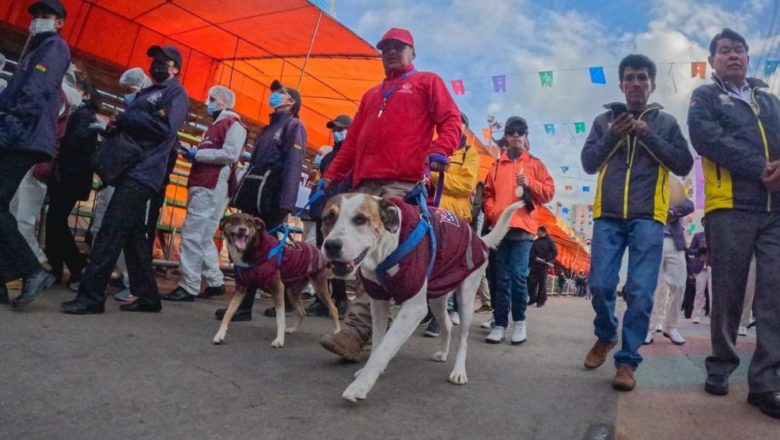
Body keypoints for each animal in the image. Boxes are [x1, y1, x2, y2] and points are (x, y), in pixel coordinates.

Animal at [213, 213, 338, 348]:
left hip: (319, 287)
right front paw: (219, 335)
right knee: (302, 312)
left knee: (333, 309)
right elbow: (228, 313)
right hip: (292, 292)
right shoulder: (241, 289)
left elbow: (280, 318)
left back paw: (337, 331)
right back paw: (292, 329)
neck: (254, 250)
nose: (242, 229)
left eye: (249, 222)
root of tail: (319, 252)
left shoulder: (278, 287)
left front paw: (279, 340)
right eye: (235, 220)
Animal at [316, 193, 524, 402]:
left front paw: (360, 386)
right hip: (437, 296)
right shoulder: (378, 302)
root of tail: (478, 237)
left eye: (360, 219)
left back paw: (458, 372)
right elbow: (378, 342)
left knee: (463, 339)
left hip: (466, 297)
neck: (386, 251)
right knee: (447, 324)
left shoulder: (413, 309)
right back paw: (443, 352)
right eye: (328, 218)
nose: (331, 246)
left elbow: (385, 348)